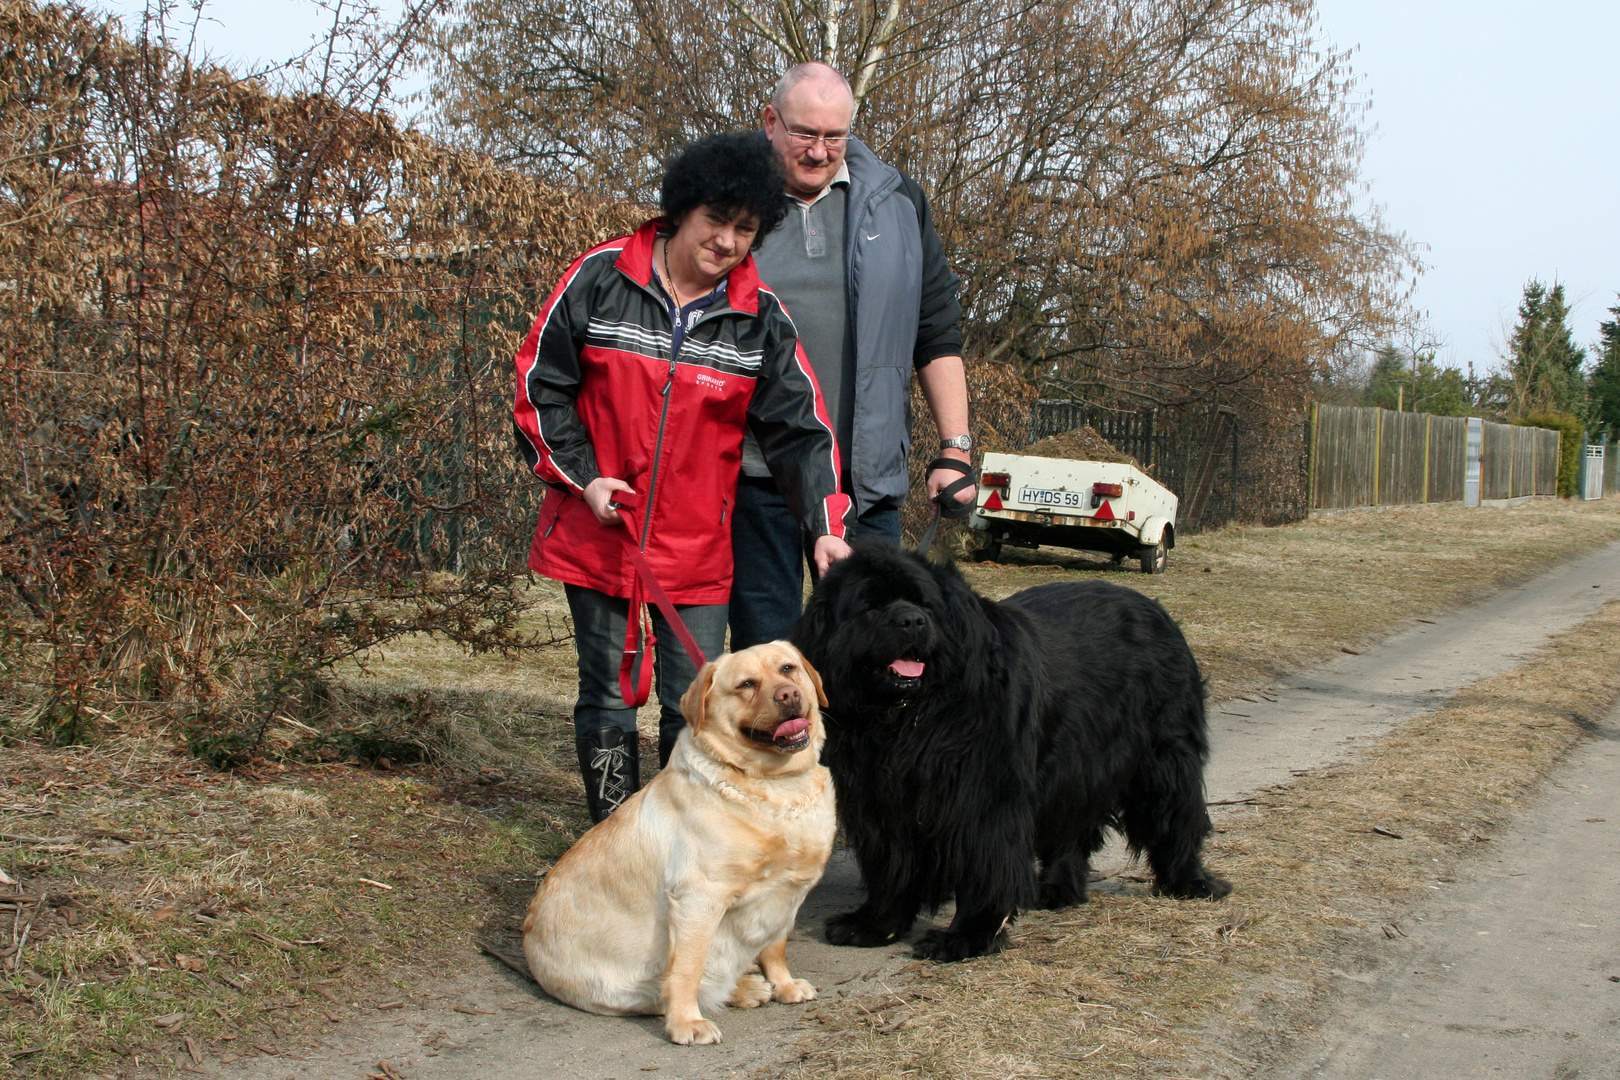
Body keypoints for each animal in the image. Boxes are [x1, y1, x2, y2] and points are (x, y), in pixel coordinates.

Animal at [787, 540, 1224, 965]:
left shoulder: (983, 796)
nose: (912, 621)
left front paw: (967, 936)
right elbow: (892, 865)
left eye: (924, 603)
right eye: (869, 606)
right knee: (1072, 825)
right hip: (1077, 763)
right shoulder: (881, 797)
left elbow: (985, 864)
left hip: (1161, 755)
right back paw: (1057, 889)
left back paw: (1190, 881)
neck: (909, 716)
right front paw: (876, 924)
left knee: (1175, 814)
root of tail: (1153, 606)